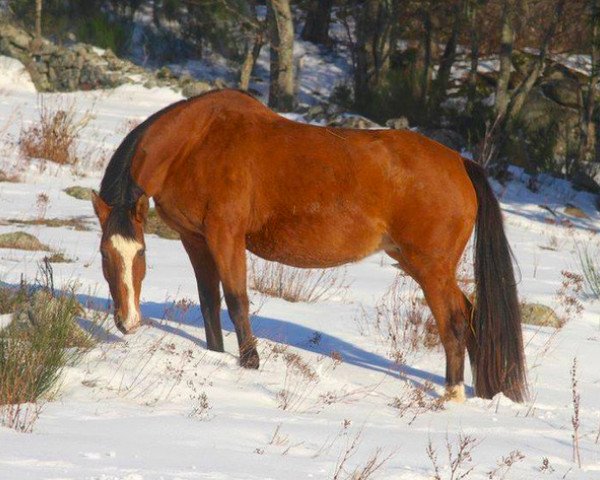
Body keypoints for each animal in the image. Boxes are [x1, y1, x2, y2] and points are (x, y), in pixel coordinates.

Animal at [91, 88, 528, 404]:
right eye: (104, 254)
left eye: (140, 254)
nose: (127, 322)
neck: (196, 142)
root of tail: (460, 164)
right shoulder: (195, 239)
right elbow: (210, 302)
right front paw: (216, 355)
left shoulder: (225, 236)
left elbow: (236, 300)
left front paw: (250, 363)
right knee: (470, 314)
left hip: (430, 268)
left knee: (454, 321)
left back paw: (451, 395)